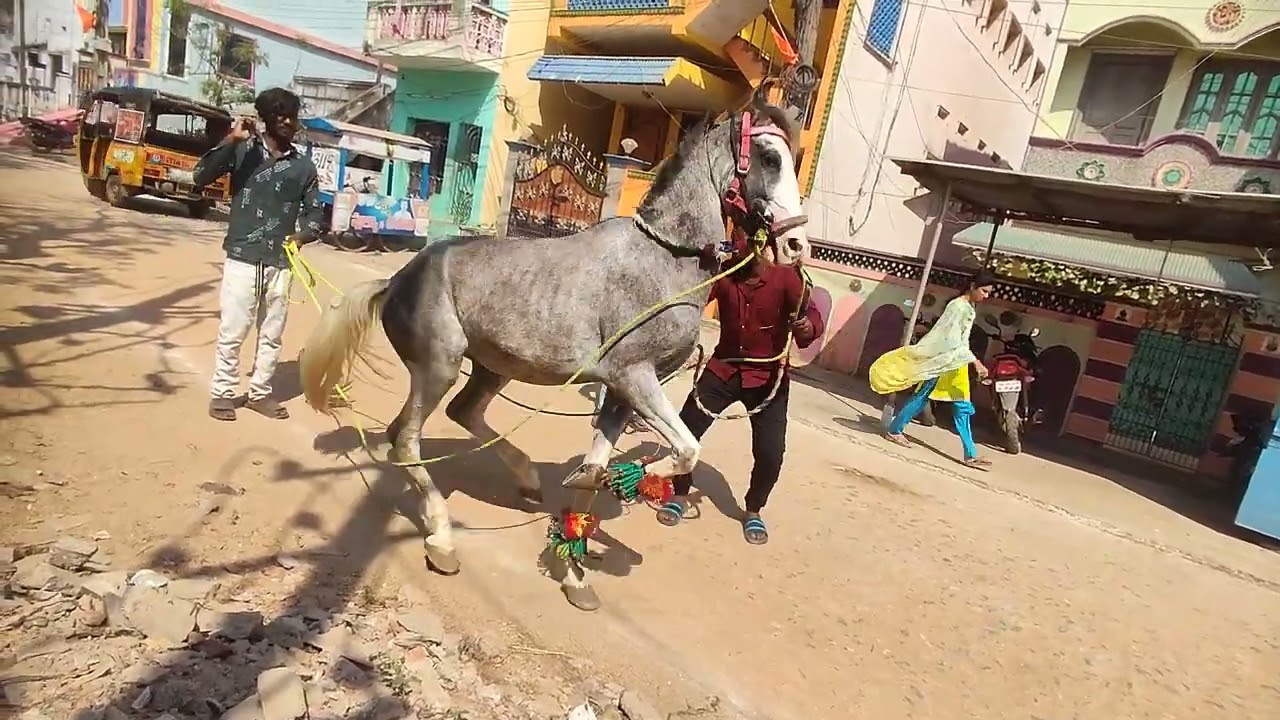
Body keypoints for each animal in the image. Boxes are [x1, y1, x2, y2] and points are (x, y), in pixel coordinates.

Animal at [298, 98, 810, 611]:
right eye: (769, 157)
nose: (796, 244)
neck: (664, 260)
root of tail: (396, 280)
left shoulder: (620, 391)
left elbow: (596, 470)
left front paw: (577, 567)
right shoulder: (634, 375)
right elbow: (687, 449)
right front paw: (631, 480)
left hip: (492, 368)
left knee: (458, 414)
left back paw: (528, 481)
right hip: (439, 366)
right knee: (404, 439)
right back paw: (442, 540)